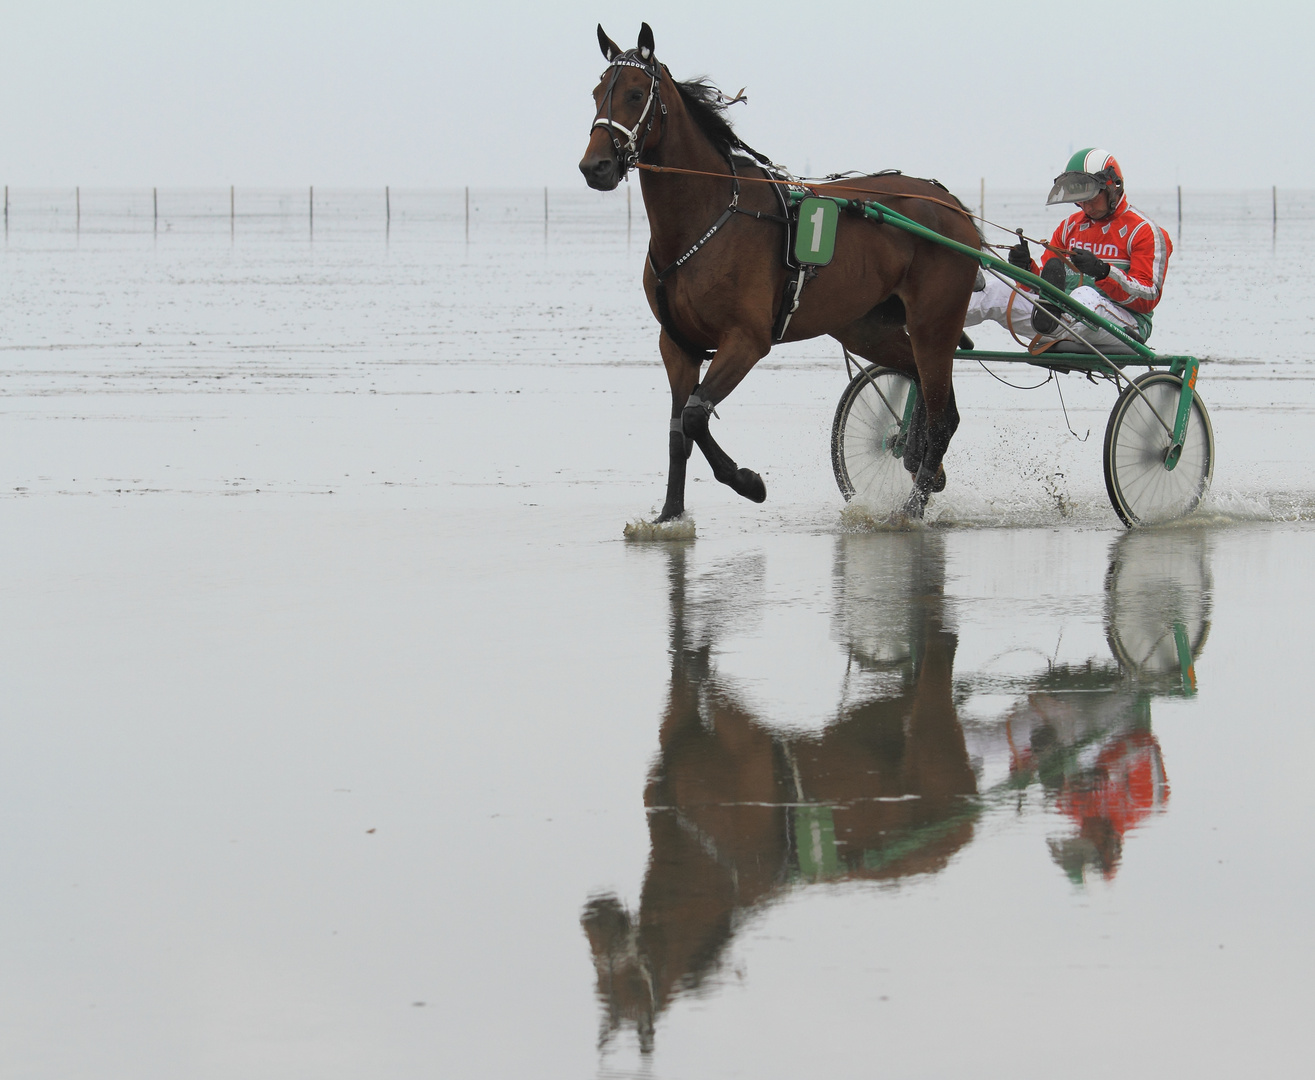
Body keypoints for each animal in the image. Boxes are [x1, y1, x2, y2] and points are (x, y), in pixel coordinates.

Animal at [581, 19, 983, 518]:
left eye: (636, 94)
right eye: (597, 92)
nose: (595, 166)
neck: (708, 215)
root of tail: (949, 203)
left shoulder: (746, 339)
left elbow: (694, 416)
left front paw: (748, 482)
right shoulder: (677, 345)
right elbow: (678, 433)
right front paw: (669, 515)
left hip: (934, 321)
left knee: (943, 412)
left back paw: (911, 509)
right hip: (865, 326)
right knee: (922, 386)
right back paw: (918, 460)